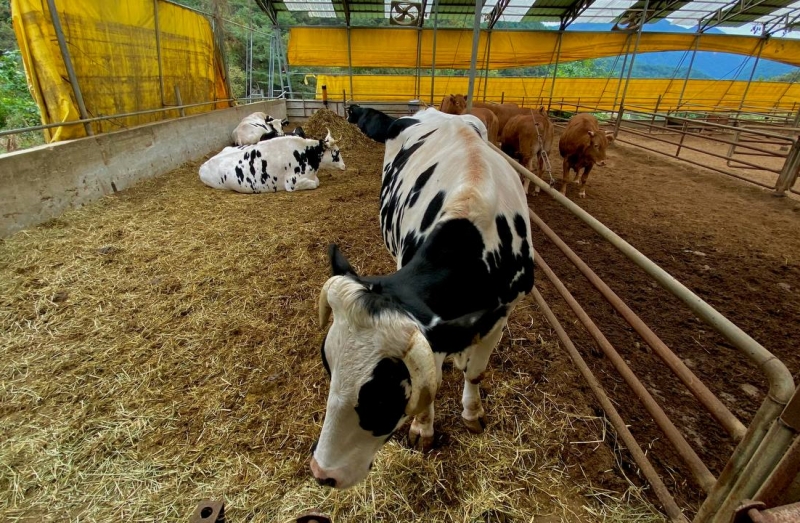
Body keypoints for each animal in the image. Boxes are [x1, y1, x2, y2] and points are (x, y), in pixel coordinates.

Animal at [310, 107, 532, 492]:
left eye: (381, 393)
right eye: (329, 367)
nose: (322, 472)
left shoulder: (502, 313)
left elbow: (475, 371)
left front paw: (472, 411)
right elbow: (434, 379)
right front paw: (423, 428)